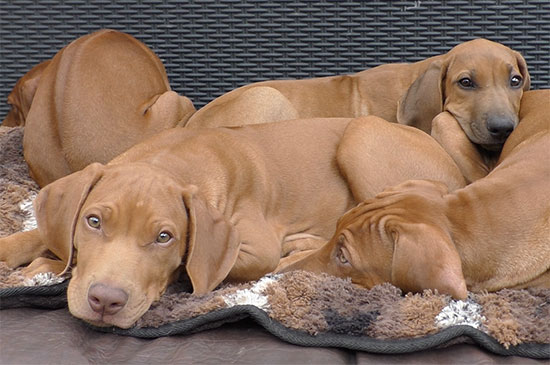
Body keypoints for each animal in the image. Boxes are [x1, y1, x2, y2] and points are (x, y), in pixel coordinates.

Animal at [0, 116, 468, 328]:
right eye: (93, 221)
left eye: (165, 237)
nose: (105, 302)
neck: (168, 162)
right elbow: (42, 232)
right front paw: (29, 256)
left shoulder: (253, 248)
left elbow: (192, 268)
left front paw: (47, 266)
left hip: (361, 136)